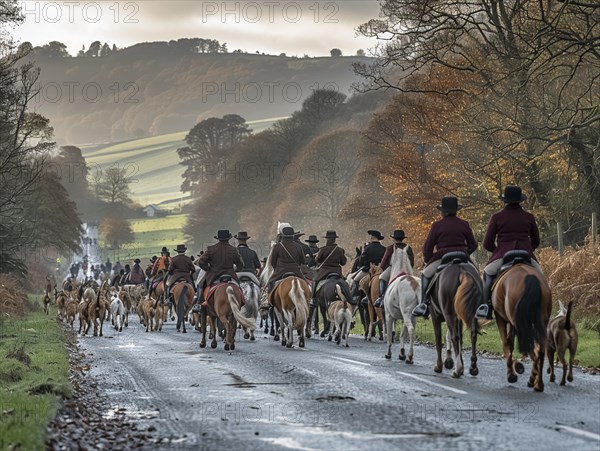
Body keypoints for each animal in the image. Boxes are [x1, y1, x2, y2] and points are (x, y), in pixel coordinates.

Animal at [490, 262, 552, 392]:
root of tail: (529, 277)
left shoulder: (500, 317)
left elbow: (507, 343)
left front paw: (512, 374)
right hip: (540, 321)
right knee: (540, 349)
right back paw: (538, 384)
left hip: (517, 321)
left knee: (529, 348)